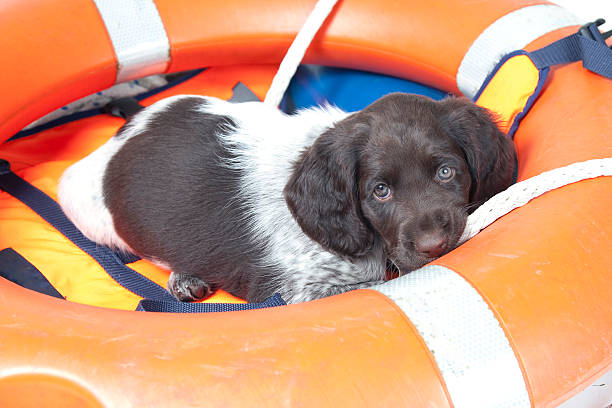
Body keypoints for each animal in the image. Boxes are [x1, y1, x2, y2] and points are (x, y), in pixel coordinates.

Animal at [58, 92, 516, 302]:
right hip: (87, 209)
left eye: (446, 172)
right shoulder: (306, 291)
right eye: (380, 191)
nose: (435, 245)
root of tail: (127, 131)